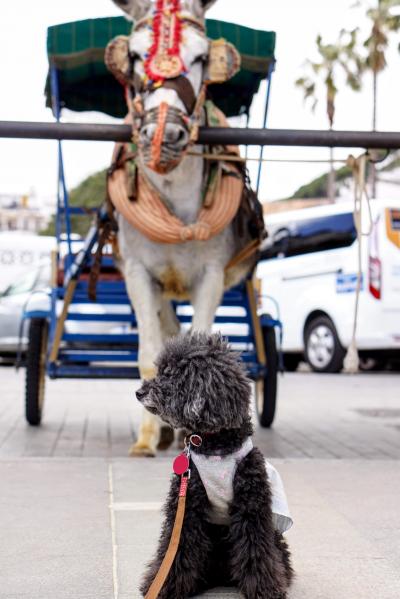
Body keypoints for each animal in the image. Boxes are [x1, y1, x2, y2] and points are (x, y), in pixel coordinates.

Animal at [136, 336, 292, 596]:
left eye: (170, 374)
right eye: (160, 370)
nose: (139, 392)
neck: (214, 446)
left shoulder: (251, 506)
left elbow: (255, 547)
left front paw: (264, 588)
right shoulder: (187, 505)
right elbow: (177, 545)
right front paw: (166, 585)